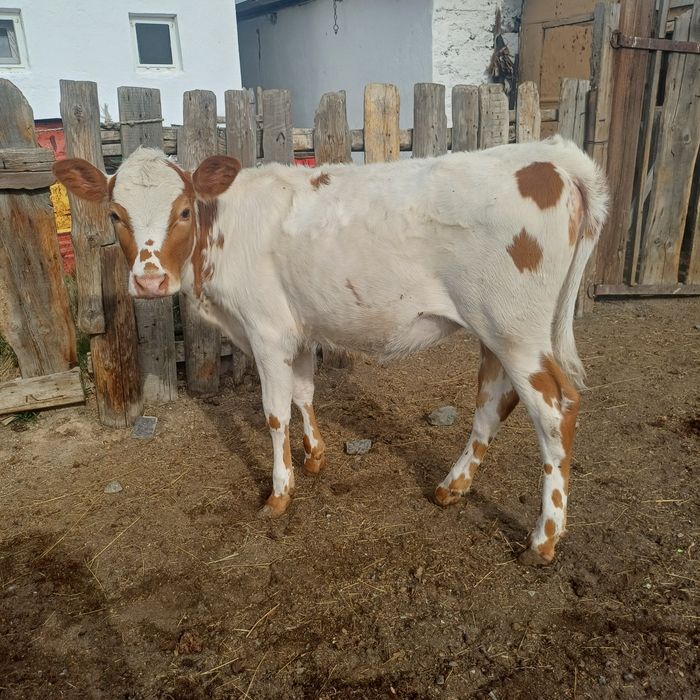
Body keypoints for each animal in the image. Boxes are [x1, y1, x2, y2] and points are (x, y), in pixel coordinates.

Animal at [54, 135, 608, 565]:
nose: (149, 280)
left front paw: (280, 492)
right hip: (496, 331)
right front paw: (316, 457)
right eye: (115, 214)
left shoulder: (267, 330)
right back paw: (453, 487)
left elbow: (274, 412)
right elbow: (303, 392)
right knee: (493, 402)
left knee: (555, 409)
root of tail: (547, 156)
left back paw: (543, 540)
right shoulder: (299, 329)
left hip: (516, 330)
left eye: (184, 210)